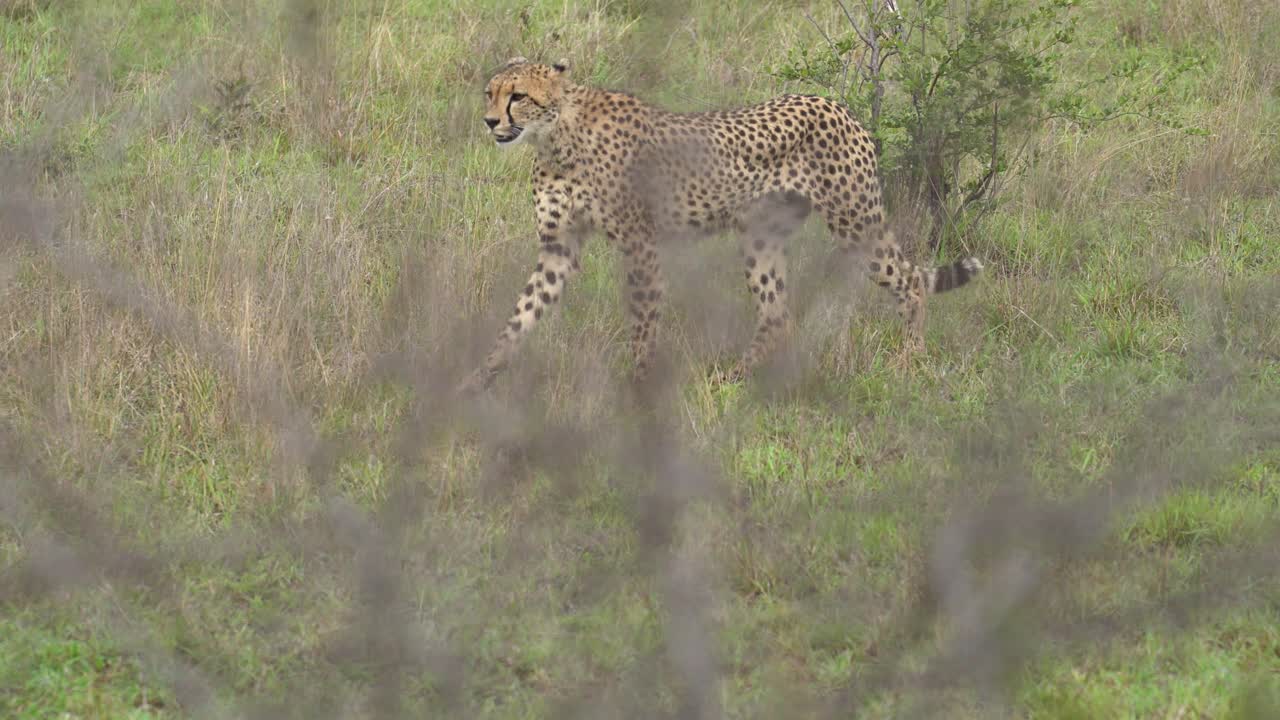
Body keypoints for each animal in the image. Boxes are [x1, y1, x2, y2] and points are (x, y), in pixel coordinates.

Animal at [461, 56, 983, 393]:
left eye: (518, 96)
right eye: (490, 93)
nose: (488, 121)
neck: (555, 135)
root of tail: (835, 103)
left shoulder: (640, 246)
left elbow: (642, 326)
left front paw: (638, 391)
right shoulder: (559, 247)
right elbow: (522, 314)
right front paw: (480, 377)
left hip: (854, 221)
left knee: (909, 282)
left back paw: (909, 360)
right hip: (760, 239)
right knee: (777, 314)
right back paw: (734, 380)